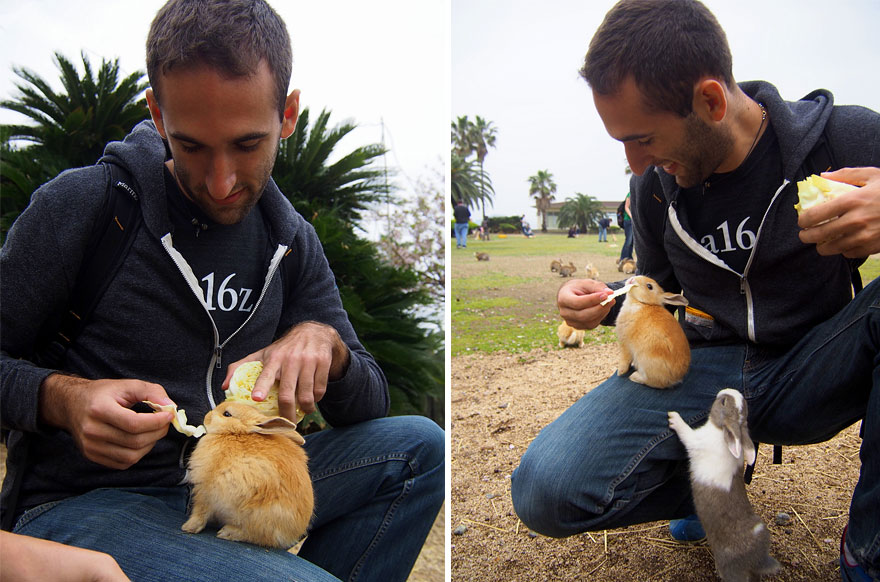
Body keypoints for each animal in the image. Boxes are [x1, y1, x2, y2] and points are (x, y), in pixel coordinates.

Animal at [181, 401, 314, 549]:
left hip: (257, 517)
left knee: (257, 536)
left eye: (227, 414)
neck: (234, 433)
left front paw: (188, 527)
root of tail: (293, 533)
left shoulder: (205, 489)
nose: (207, 417)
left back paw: (227, 532)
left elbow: (200, 512)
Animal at [668, 389, 781, 582]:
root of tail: (758, 561)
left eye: (723, 403)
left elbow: (685, 432)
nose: (727, 390)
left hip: (731, 570)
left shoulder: (695, 440)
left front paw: (673, 417)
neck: (720, 430)